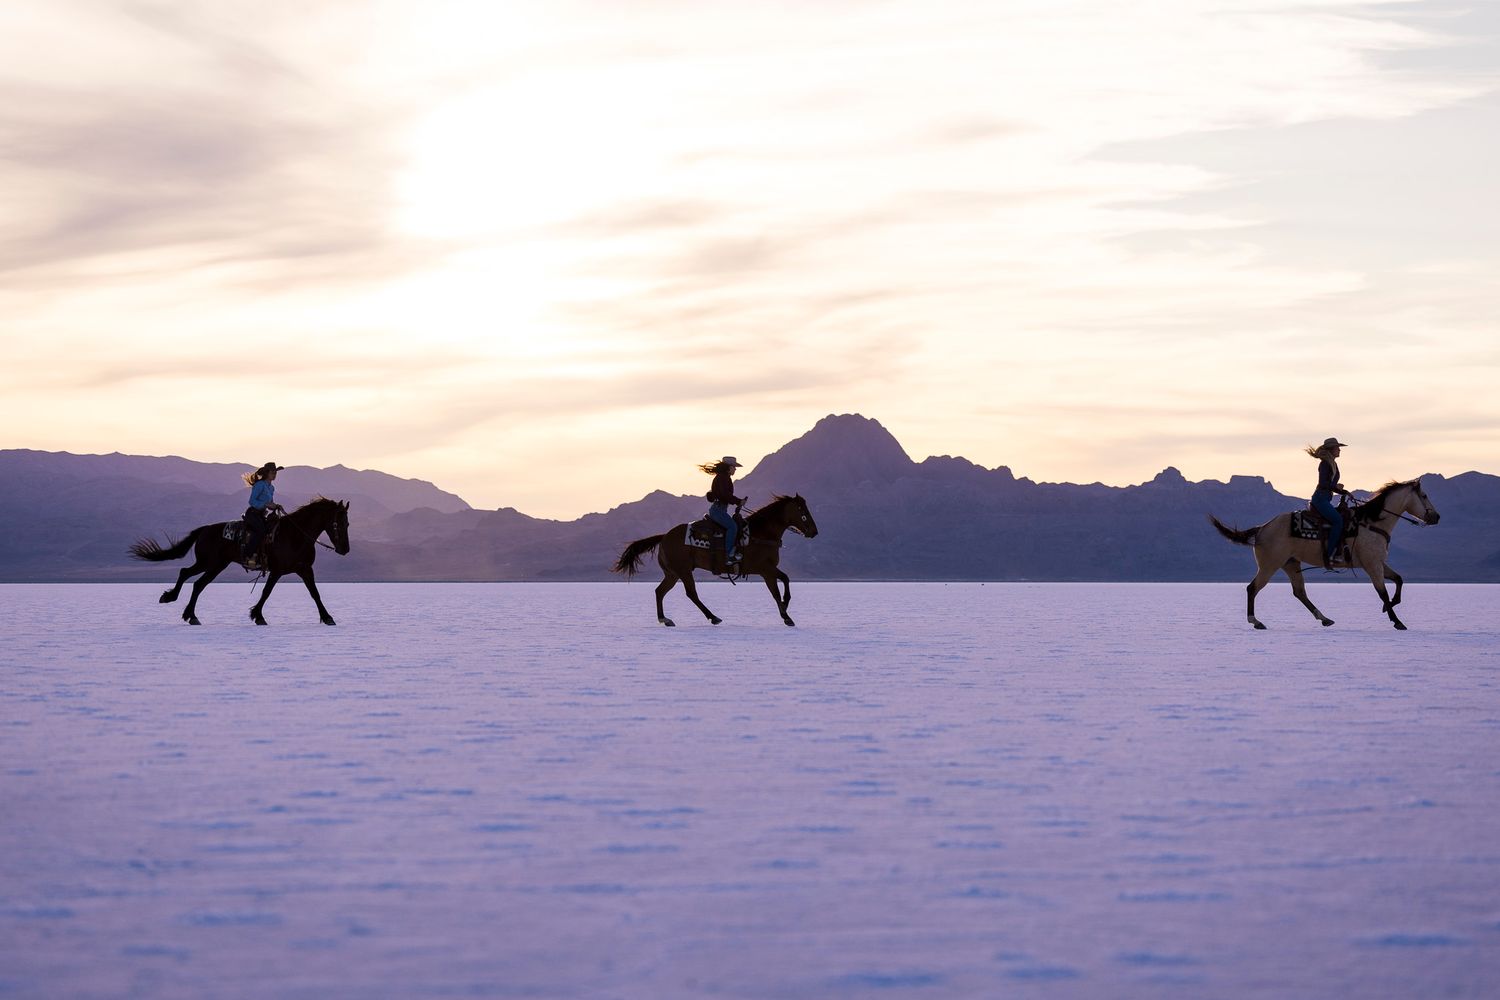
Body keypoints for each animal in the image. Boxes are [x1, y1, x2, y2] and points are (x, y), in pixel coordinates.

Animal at [128, 497, 351, 626]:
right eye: (338, 523)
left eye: (347, 523)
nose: (345, 549)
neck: (295, 535)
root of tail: (205, 529)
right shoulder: (277, 570)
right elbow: (266, 592)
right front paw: (258, 616)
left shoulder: (305, 569)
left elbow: (315, 593)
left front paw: (327, 617)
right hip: (211, 564)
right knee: (192, 579)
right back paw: (184, 609)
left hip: (213, 564)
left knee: (192, 578)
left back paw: (185, 610)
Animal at [612, 495, 819, 627]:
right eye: (802, 509)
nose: (814, 531)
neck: (761, 533)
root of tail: (663, 536)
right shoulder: (765, 570)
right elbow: (778, 589)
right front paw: (786, 615)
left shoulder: (770, 569)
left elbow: (784, 582)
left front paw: (785, 607)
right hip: (683, 571)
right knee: (691, 593)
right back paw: (713, 617)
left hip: (672, 573)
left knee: (659, 591)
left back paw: (665, 619)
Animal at [1210, 479, 1439, 630]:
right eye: (1424, 496)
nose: (1436, 516)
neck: (1372, 523)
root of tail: (1262, 527)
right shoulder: (1372, 564)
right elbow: (1382, 591)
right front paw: (1397, 621)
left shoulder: (1379, 562)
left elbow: (1399, 580)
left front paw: (1389, 607)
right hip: (1269, 565)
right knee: (1253, 588)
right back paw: (1255, 621)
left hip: (1290, 563)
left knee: (1299, 592)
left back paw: (1324, 618)